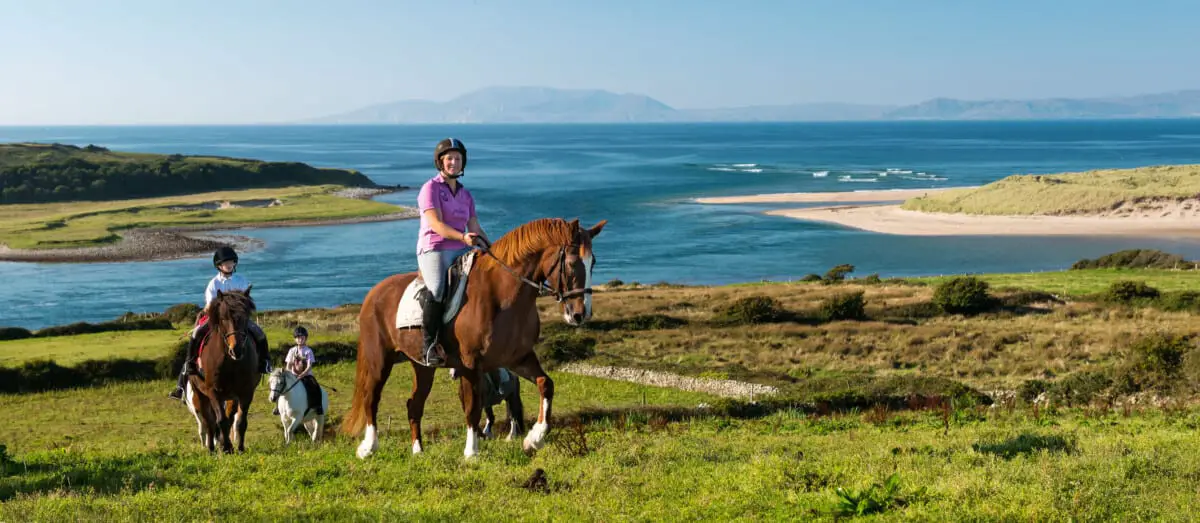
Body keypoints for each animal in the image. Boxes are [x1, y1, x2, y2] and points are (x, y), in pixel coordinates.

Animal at [183, 285, 261, 453]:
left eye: (245, 316)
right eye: (224, 318)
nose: (236, 350)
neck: (230, 362)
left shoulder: (245, 392)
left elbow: (240, 421)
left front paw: (239, 448)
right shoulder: (213, 392)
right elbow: (220, 421)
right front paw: (225, 448)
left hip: (231, 396)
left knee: (228, 418)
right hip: (200, 395)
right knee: (209, 422)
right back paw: (212, 449)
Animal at [345, 217, 609, 458]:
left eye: (593, 262)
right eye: (572, 262)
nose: (581, 314)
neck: (504, 296)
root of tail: (374, 292)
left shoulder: (518, 358)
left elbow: (546, 384)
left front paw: (535, 439)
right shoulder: (471, 364)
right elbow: (473, 407)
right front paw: (471, 452)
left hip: (422, 367)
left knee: (414, 404)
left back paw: (418, 451)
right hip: (379, 360)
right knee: (371, 398)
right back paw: (368, 448)